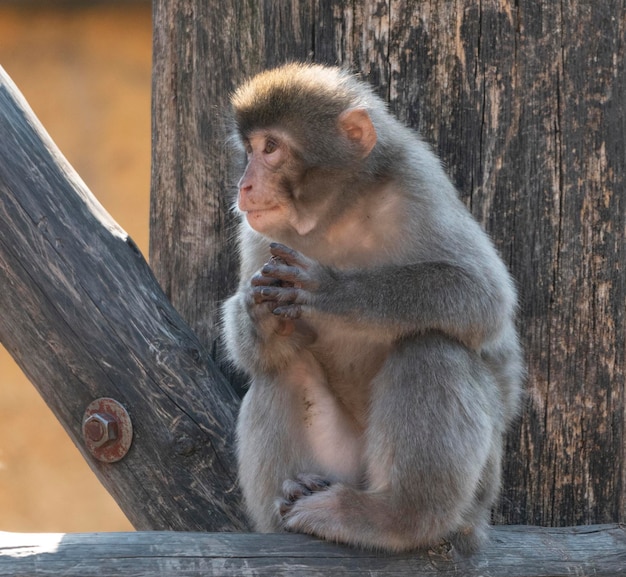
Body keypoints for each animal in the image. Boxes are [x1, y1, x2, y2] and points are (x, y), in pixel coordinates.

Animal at [219, 64, 520, 552]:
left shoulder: (417, 185)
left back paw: (393, 517)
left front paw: (331, 291)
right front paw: (257, 314)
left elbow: (483, 297)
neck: (336, 214)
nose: (245, 185)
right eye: (249, 150)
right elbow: (259, 352)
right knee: (283, 370)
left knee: (432, 348)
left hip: (478, 493)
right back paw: (294, 495)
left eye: (270, 148)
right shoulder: (258, 232)